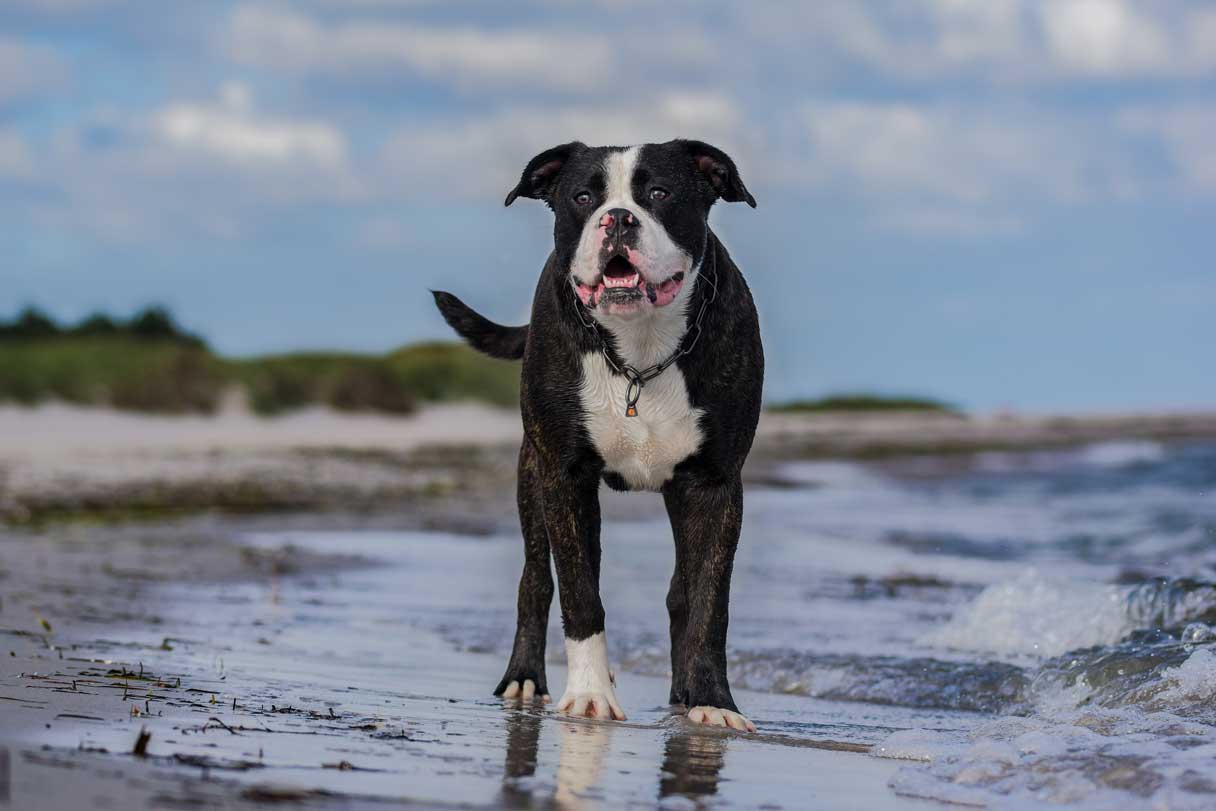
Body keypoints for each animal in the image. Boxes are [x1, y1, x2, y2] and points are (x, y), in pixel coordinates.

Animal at [435, 139, 758, 734]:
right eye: (584, 197)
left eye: (660, 193)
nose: (620, 218)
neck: (641, 347)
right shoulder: (563, 477)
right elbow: (580, 593)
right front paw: (589, 695)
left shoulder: (715, 485)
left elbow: (709, 602)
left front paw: (712, 701)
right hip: (530, 478)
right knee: (536, 579)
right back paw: (524, 679)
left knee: (681, 595)